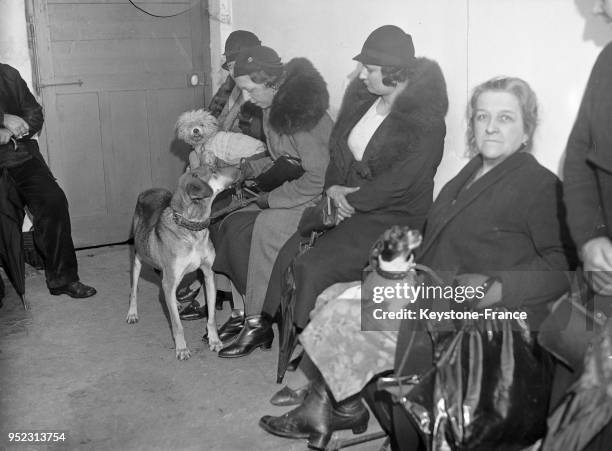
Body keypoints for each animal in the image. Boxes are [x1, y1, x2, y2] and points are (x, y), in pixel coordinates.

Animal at [125, 166, 238, 360]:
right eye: (214, 170)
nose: (240, 166)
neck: (192, 228)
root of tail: (148, 191)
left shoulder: (209, 274)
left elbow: (212, 317)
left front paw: (214, 340)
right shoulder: (170, 278)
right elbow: (177, 325)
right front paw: (182, 348)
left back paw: (175, 303)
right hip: (139, 258)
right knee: (134, 290)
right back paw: (132, 313)